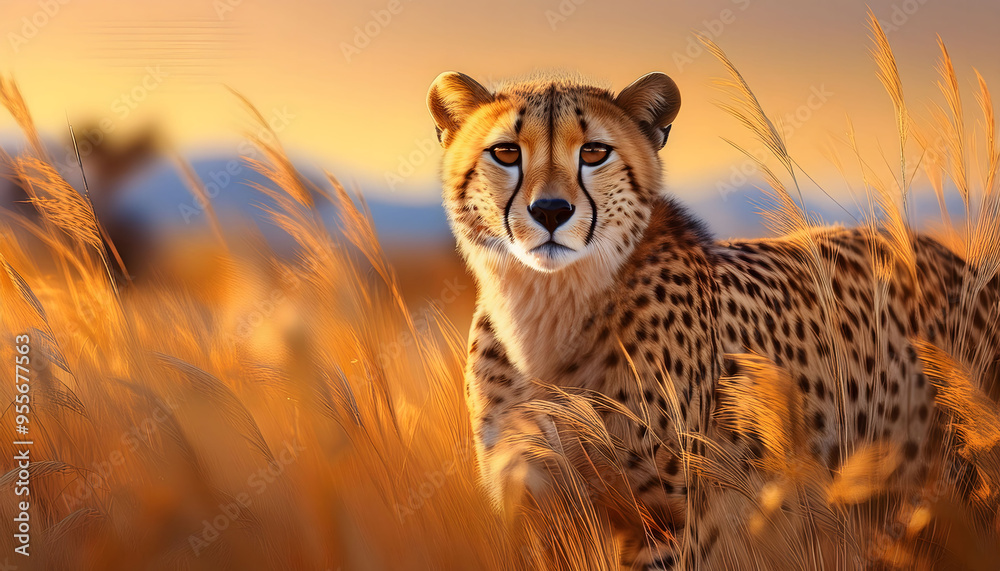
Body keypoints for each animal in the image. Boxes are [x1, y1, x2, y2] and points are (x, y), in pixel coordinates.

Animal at [426, 70, 1000, 569]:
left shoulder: (665, 524)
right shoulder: (534, 512)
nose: (550, 211)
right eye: (505, 152)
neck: (545, 309)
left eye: (594, 152)